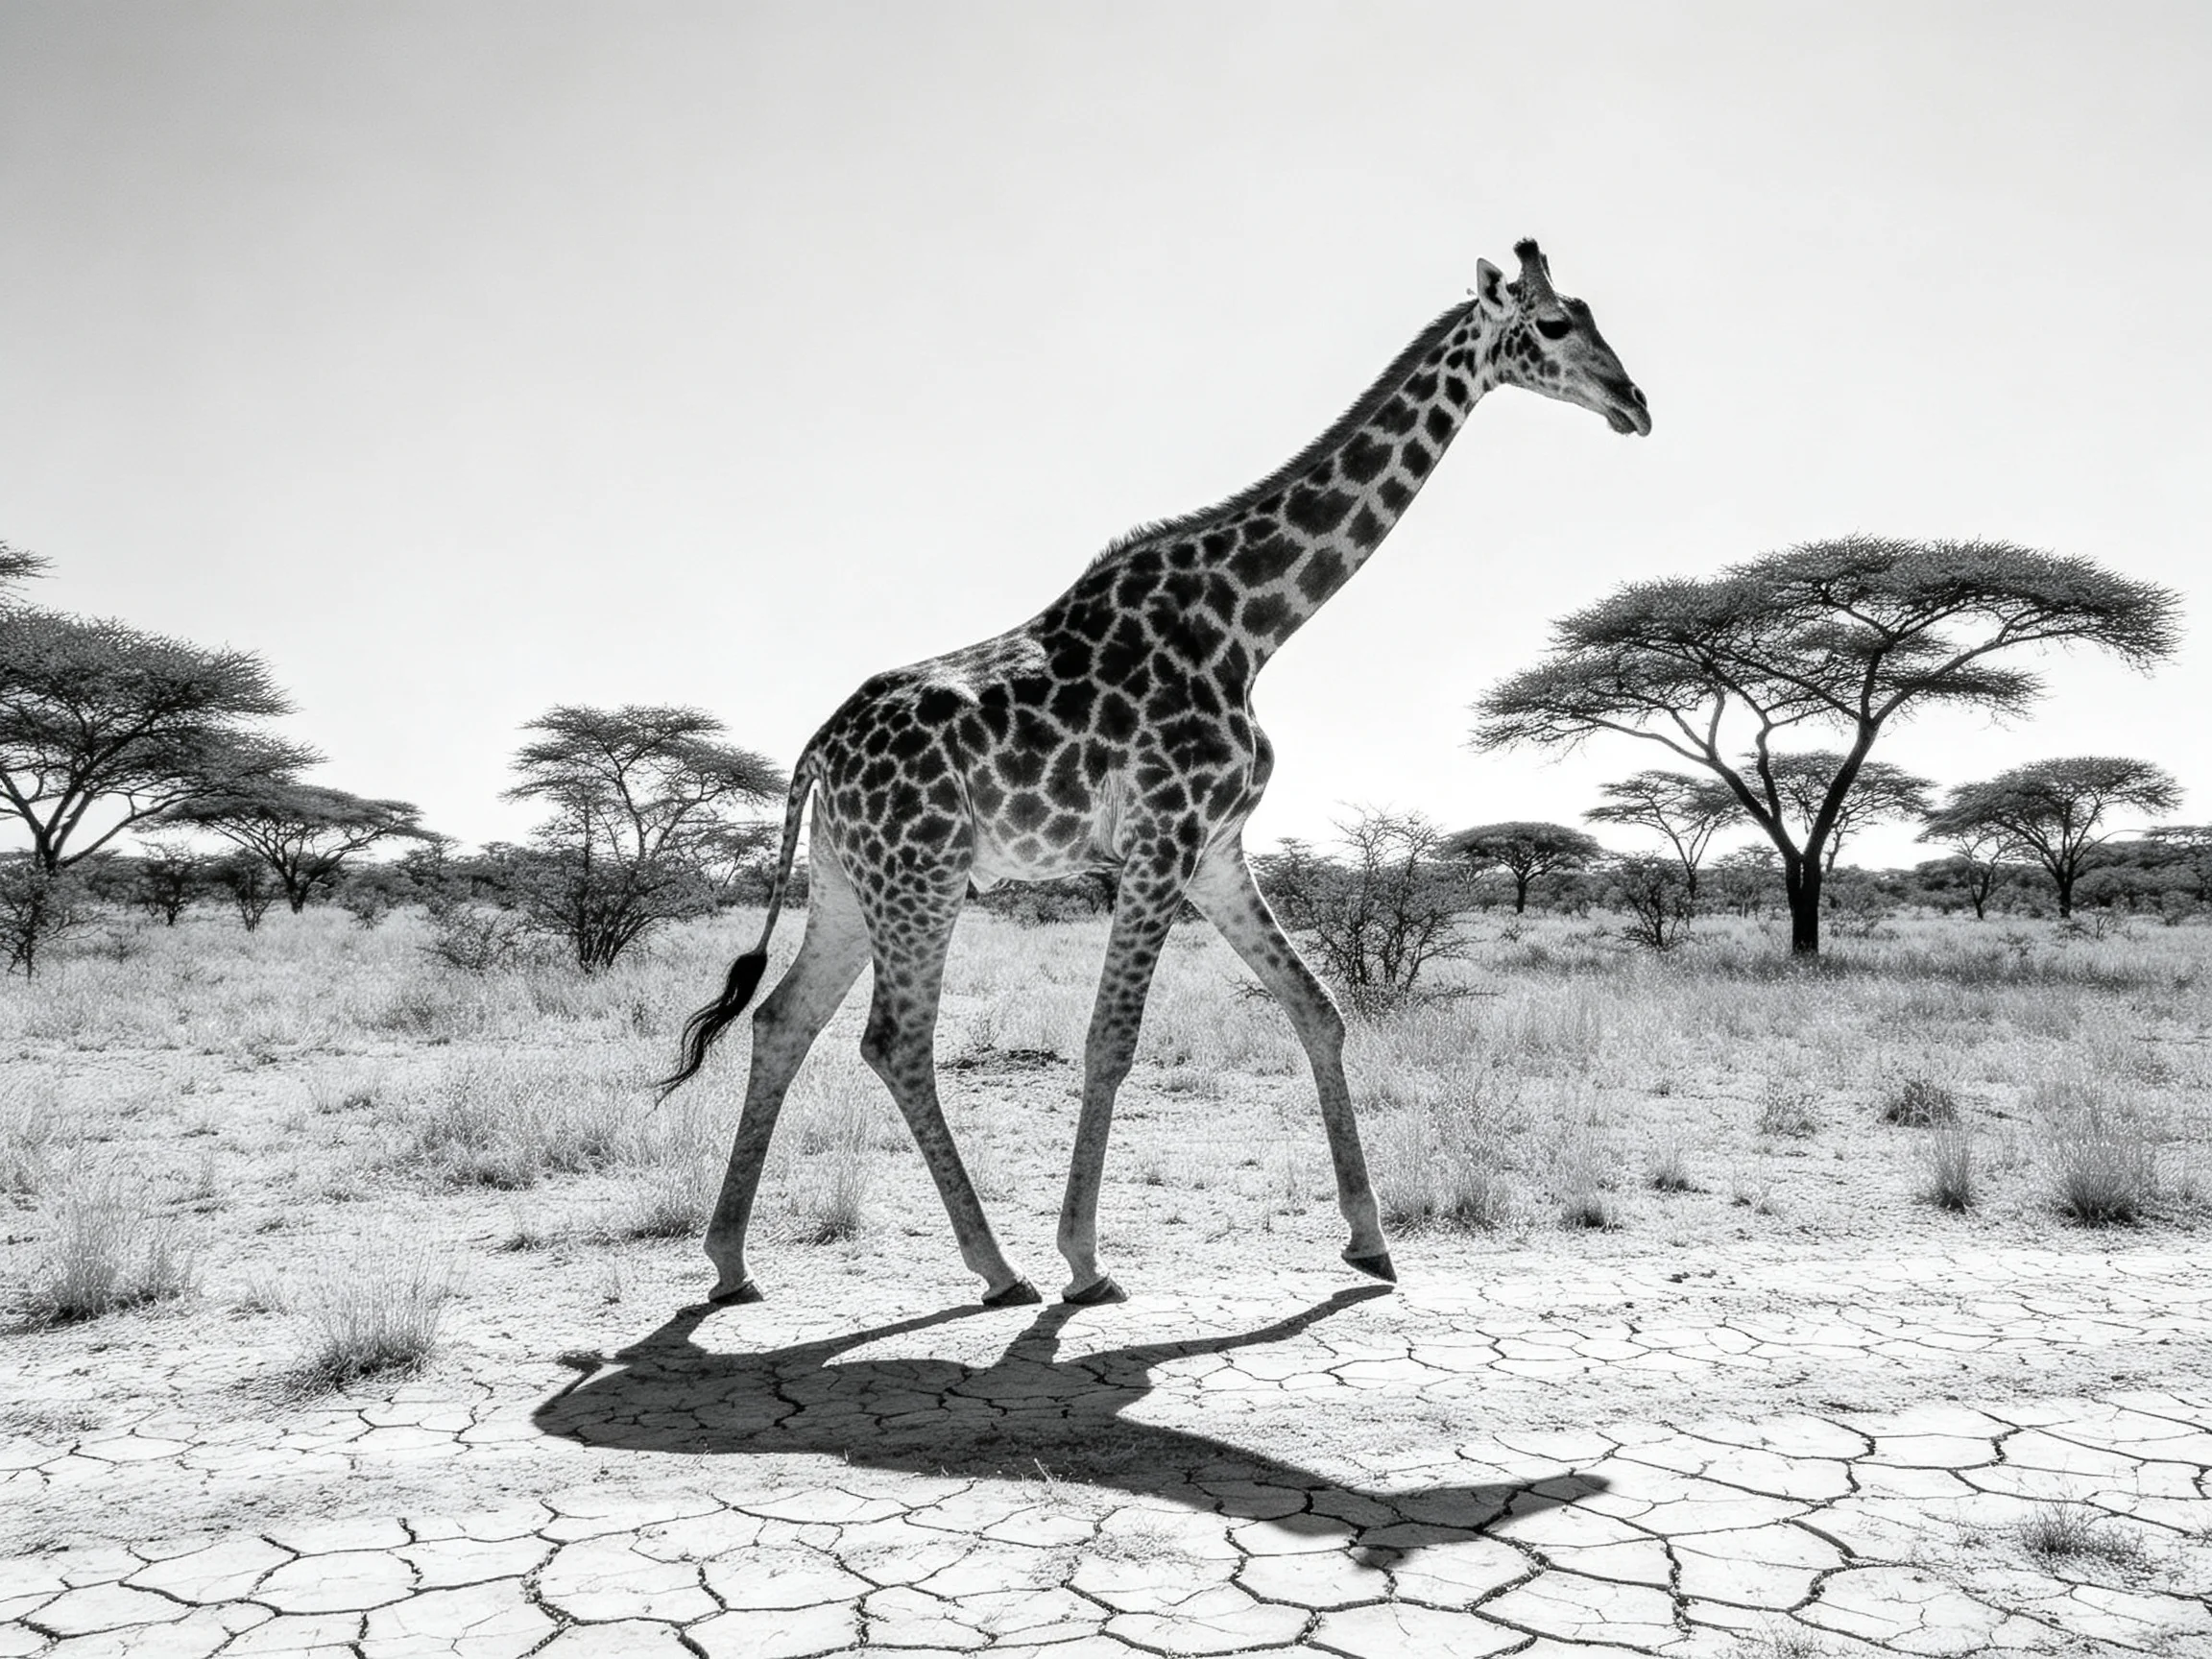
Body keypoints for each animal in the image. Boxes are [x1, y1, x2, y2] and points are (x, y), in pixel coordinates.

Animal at [662, 239, 1650, 1308]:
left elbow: (1319, 1010)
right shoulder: (1161, 837)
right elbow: (1111, 1040)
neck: (1249, 625)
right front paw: (1084, 1261)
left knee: (781, 1021)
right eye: (1553, 325)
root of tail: (817, 749)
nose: (1635, 401)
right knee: (893, 1041)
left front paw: (1369, 1240)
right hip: (924, 874)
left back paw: (731, 1262)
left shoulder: (1216, 848)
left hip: (852, 882)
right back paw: (998, 1267)